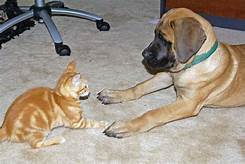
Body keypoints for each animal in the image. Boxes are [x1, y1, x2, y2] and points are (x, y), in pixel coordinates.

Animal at [97, 8, 245, 138]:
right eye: (155, 34)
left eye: (164, 39)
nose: (144, 54)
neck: (189, 66)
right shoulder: (166, 76)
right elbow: (139, 87)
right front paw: (115, 94)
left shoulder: (188, 103)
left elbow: (153, 113)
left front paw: (127, 126)